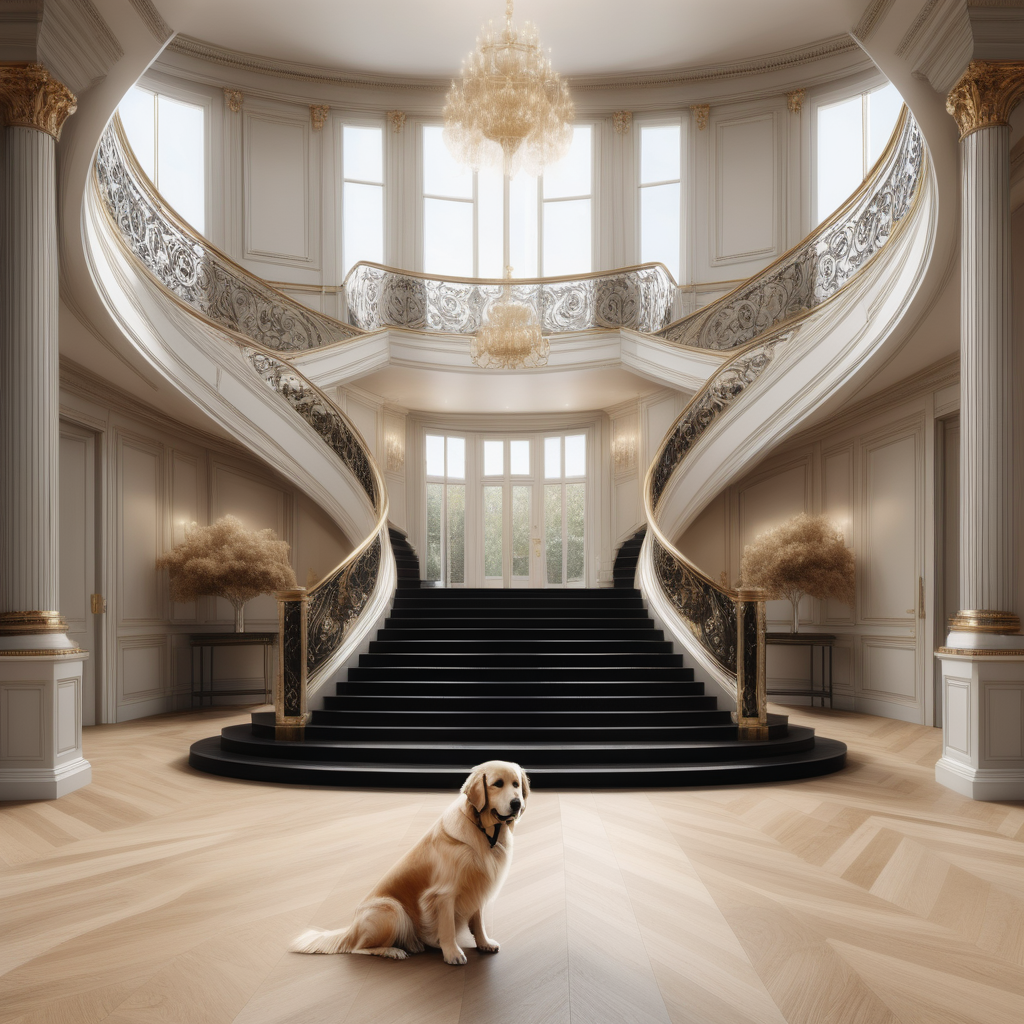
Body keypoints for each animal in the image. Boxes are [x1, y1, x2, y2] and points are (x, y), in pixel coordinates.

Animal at [288, 761, 528, 966]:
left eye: (516, 784)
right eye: (498, 784)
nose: (517, 804)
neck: (484, 832)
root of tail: (350, 929)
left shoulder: (477, 885)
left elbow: (478, 923)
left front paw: (484, 943)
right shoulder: (444, 894)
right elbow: (448, 928)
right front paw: (452, 953)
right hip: (392, 910)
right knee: (358, 947)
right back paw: (393, 951)